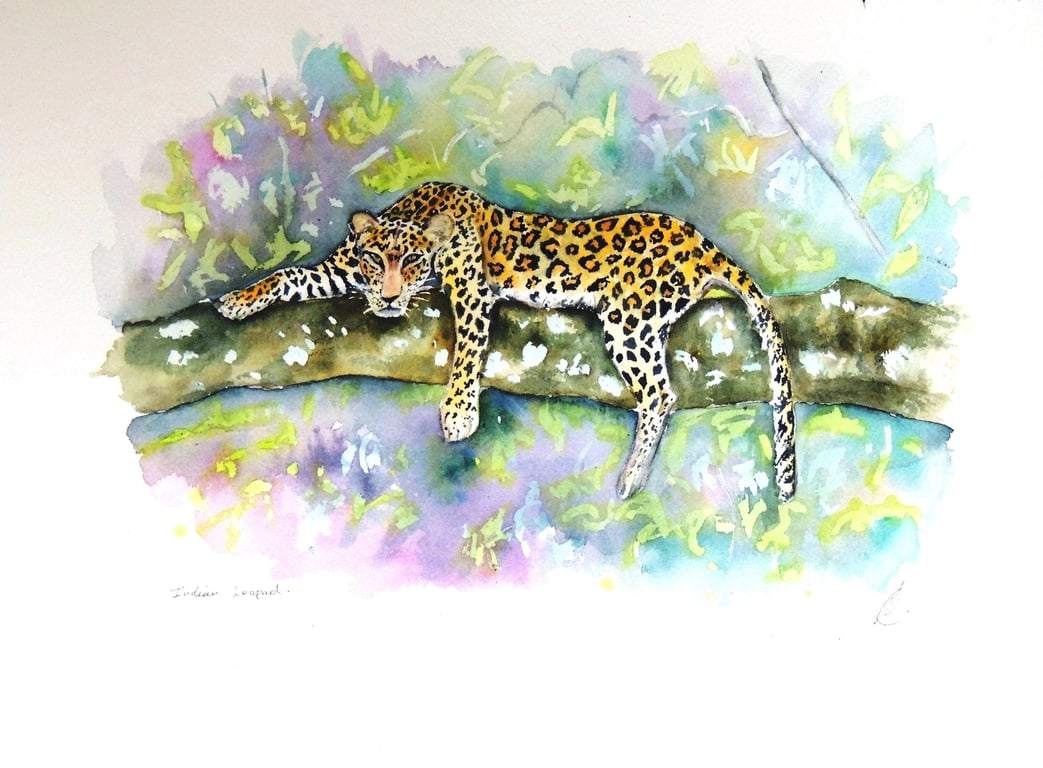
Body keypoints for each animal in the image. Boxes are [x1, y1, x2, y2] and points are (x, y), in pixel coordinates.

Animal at [216, 181, 797, 502]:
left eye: (413, 261)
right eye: (376, 260)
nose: (389, 297)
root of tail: (701, 241)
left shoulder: (472, 289)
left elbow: (469, 349)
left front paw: (458, 415)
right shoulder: (336, 272)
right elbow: (291, 275)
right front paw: (238, 300)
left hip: (628, 318)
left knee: (660, 394)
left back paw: (631, 477)